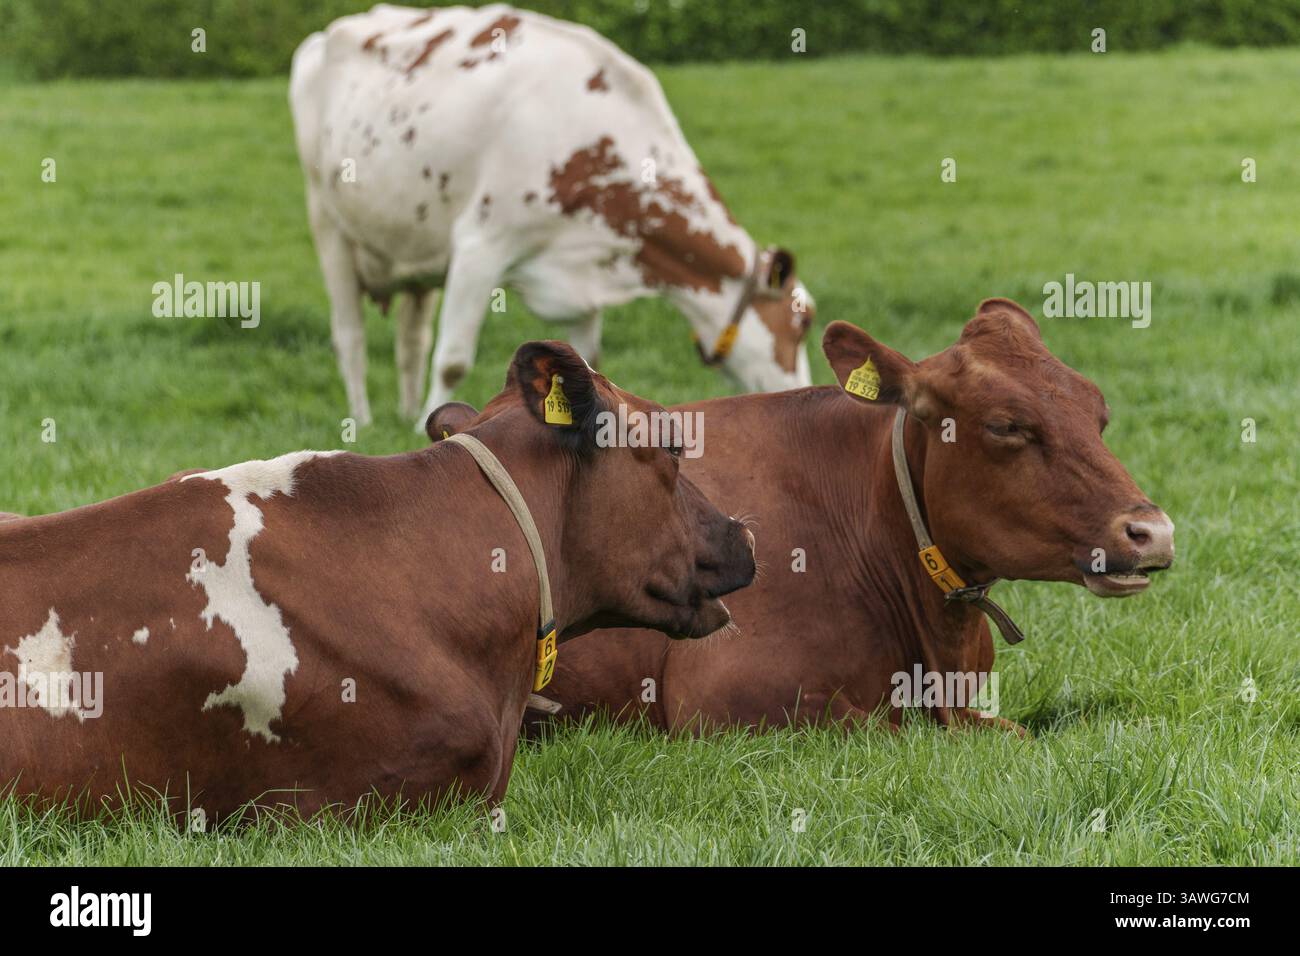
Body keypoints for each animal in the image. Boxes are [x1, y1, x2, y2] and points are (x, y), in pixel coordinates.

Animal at [289, 3, 813, 430]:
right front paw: (427, 430)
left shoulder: (581, 280)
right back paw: (364, 419)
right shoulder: (481, 244)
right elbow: (453, 360)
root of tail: (329, 31)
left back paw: (402, 411)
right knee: (351, 337)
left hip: (412, 245)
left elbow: (587, 361)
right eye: (802, 321)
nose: (801, 393)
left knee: (410, 340)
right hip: (327, 221)